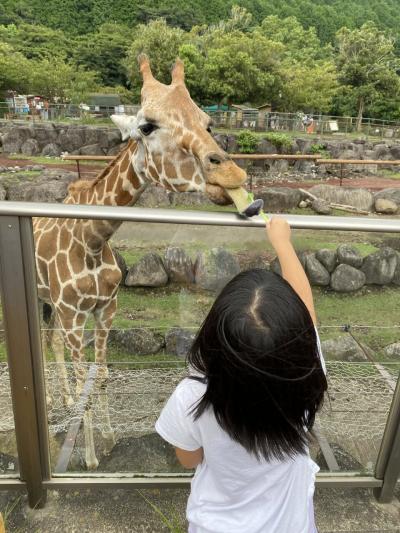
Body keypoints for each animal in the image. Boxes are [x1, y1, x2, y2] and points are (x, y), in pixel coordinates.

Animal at [33, 56, 247, 468]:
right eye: (147, 126)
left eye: (207, 122)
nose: (231, 173)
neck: (93, 240)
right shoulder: (74, 314)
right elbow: (86, 380)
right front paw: (90, 459)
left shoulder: (105, 308)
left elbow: (99, 375)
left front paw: (109, 436)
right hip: (41, 301)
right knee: (39, 341)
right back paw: (50, 401)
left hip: (52, 305)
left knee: (50, 343)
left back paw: (61, 398)